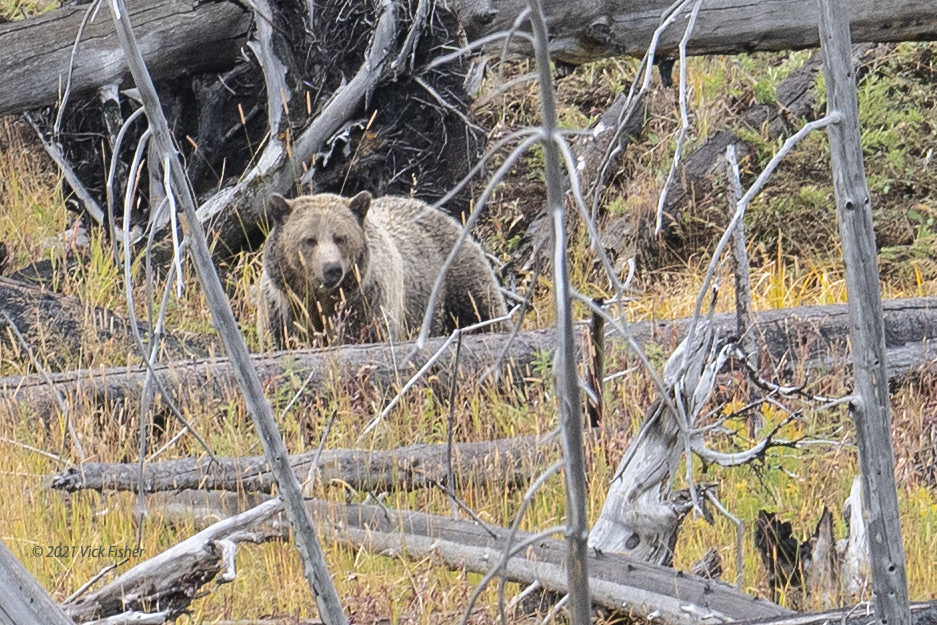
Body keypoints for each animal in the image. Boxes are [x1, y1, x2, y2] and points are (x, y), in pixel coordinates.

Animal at [254, 191, 504, 346]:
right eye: (309, 240)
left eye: (340, 237)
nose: (332, 269)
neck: (323, 298)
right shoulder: (283, 310)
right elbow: (284, 339)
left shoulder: (367, 303)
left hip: (456, 275)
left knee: (482, 309)